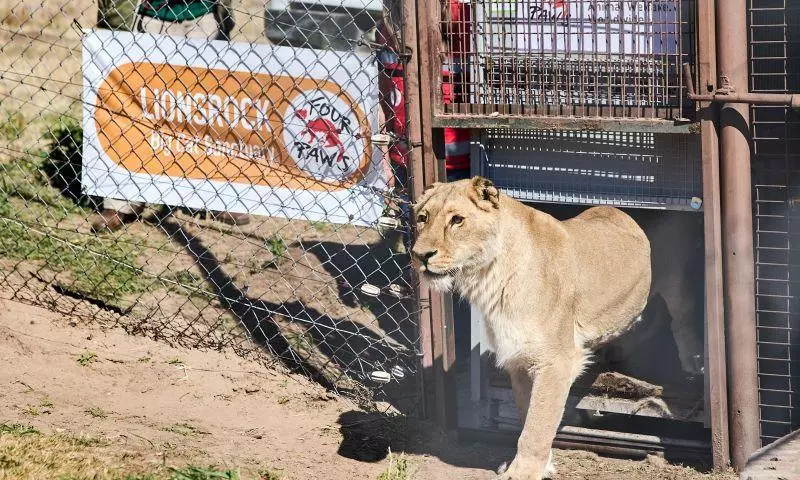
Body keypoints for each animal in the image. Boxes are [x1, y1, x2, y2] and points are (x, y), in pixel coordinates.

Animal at [411, 177, 651, 480]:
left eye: (457, 220)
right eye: (423, 218)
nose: (419, 255)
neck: (490, 277)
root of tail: (619, 210)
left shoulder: (557, 362)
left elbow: (536, 426)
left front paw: (523, 472)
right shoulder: (519, 359)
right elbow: (529, 414)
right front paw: (542, 464)